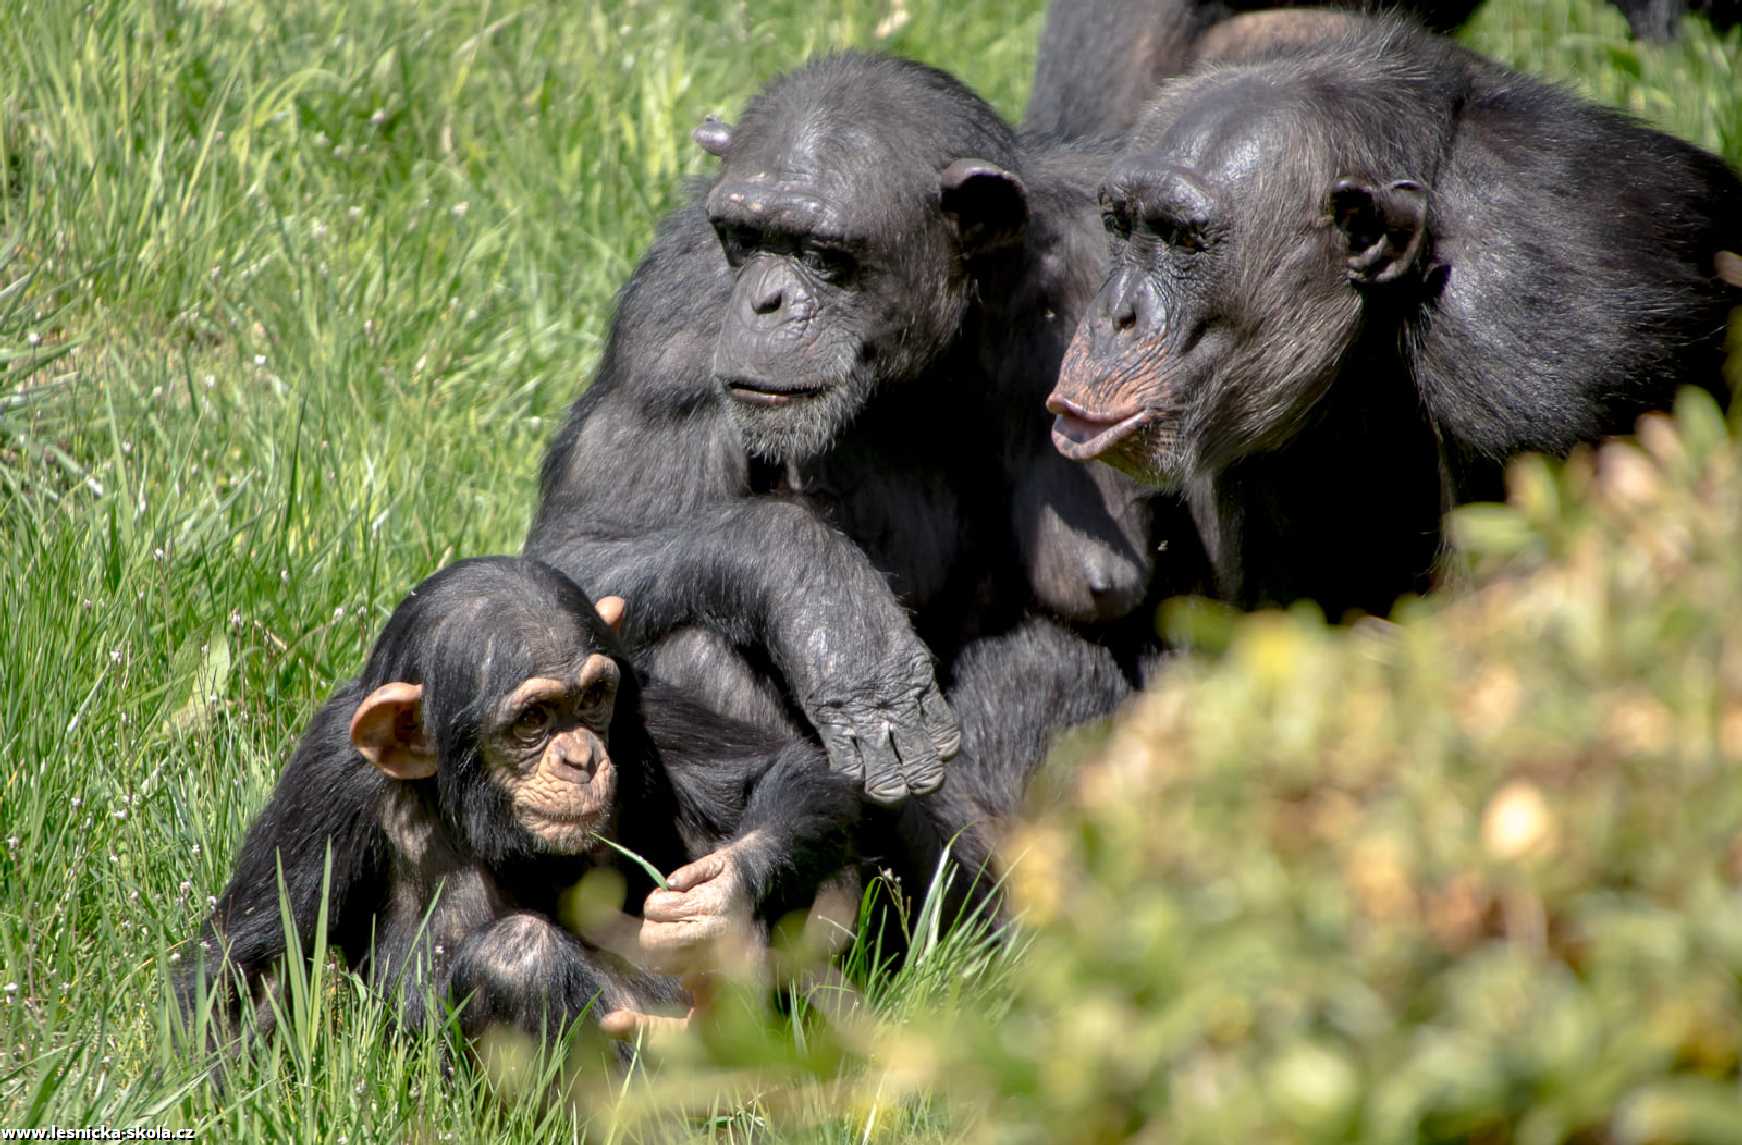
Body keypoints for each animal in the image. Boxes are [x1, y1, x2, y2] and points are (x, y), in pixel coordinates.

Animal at [180, 557, 860, 1052]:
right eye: (533, 720)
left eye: (592, 699)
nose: (581, 758)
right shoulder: (327, 777)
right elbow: (249, 968)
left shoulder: (643, 706)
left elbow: (784, 772)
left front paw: (715, 897)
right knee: (515, 957)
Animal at [522, 51, 1191, 805]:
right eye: (744, 237)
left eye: (820, 254)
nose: (765, 300)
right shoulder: (671, 318)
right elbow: (578, 551)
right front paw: (828, 604)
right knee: (686, 637)